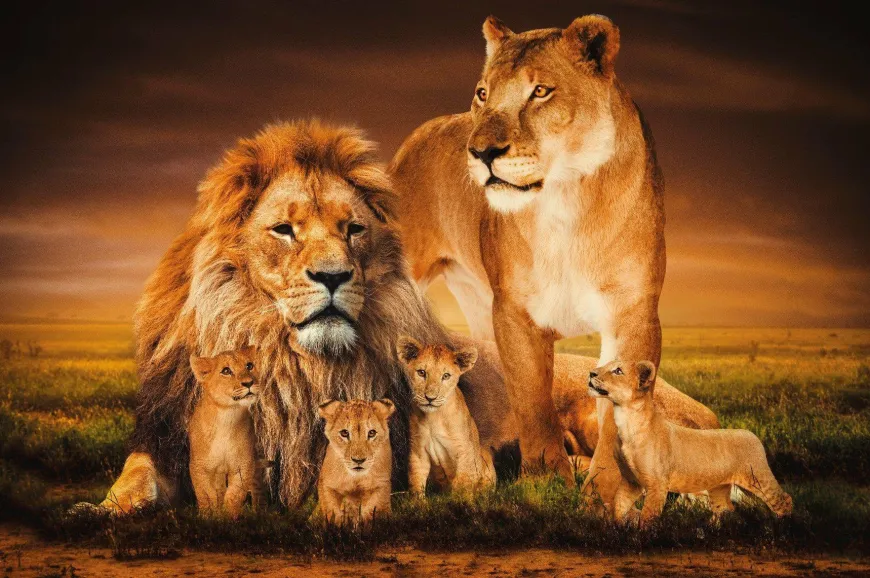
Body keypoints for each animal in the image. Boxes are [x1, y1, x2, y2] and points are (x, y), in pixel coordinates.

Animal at [188, 347, 261, 517]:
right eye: (226, 371)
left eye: (249, 366)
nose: (249, 383)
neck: (228, 417)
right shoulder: (199, 466)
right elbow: (206, 495)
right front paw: (210, 517)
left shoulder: (244, 464)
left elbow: (235, 494)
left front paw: (230, 517)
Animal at [396, 337, 496, 494]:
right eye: (421, 372)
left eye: (446, 376)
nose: (430, 398)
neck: (433, 418)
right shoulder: (418, 451)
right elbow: (416, 482)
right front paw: (417, 499)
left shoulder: (464, 450)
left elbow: (462, 483)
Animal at [589, 360, 793, 525]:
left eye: (618, 370)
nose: (591, 373)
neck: (625, 419)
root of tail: (751, 433)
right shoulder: (631, 480)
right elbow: (619, 506)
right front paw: (617, 531)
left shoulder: (657, 484)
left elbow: (648, 516)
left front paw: (643, 540)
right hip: (719, 487)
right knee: (725, 507)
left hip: (758, 479)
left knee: (784, 500)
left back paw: (782, 528)